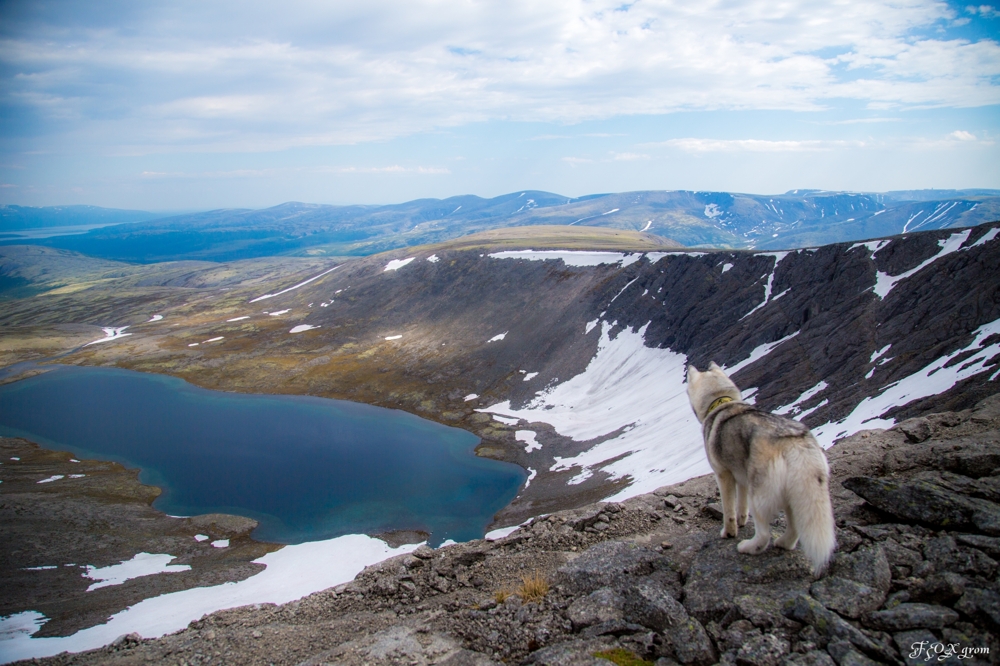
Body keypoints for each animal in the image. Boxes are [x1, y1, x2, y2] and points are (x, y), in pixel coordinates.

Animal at [688, 360, 836, 572]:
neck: (721, 403)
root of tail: (792, 442)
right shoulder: (741, 475)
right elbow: (741, 505)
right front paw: (742, 521)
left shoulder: (723, 474)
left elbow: (729, 509)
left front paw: (729, 532)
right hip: (796, 491)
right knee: (794, 527)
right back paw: (783, 543)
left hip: (759, 493)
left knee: (764, 533)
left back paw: (748, 547)